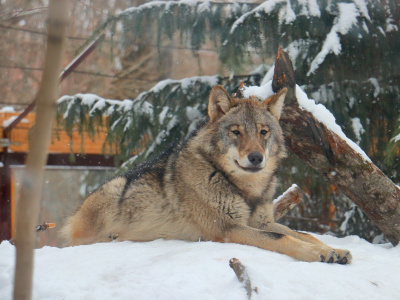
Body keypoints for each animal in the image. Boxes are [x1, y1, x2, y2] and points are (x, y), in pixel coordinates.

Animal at [61, 85, 350, 264]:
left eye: (263, 132)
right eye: (236, 132)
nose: (256, 158)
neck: (242, 187)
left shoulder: (262, 221)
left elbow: (303, 234)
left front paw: (332, 250)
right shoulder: (227, 228)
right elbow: (282, 237)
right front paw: (316, 254)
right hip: (114, 189)